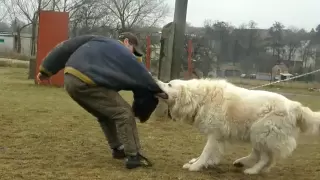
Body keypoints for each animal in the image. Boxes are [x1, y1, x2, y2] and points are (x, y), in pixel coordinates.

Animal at [156, 78, 320, 174]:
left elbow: (206, 152)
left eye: (169, 84)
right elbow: (213, 153)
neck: (200, 99)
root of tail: (295, 106)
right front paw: (206, 163)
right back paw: (244, 163)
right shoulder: (219, 137)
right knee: (264, 156)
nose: (155, 81)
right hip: (260, 135)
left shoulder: (214, 135)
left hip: (261, 132)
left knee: (265, 157)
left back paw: (252, 170)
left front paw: (196, 166)